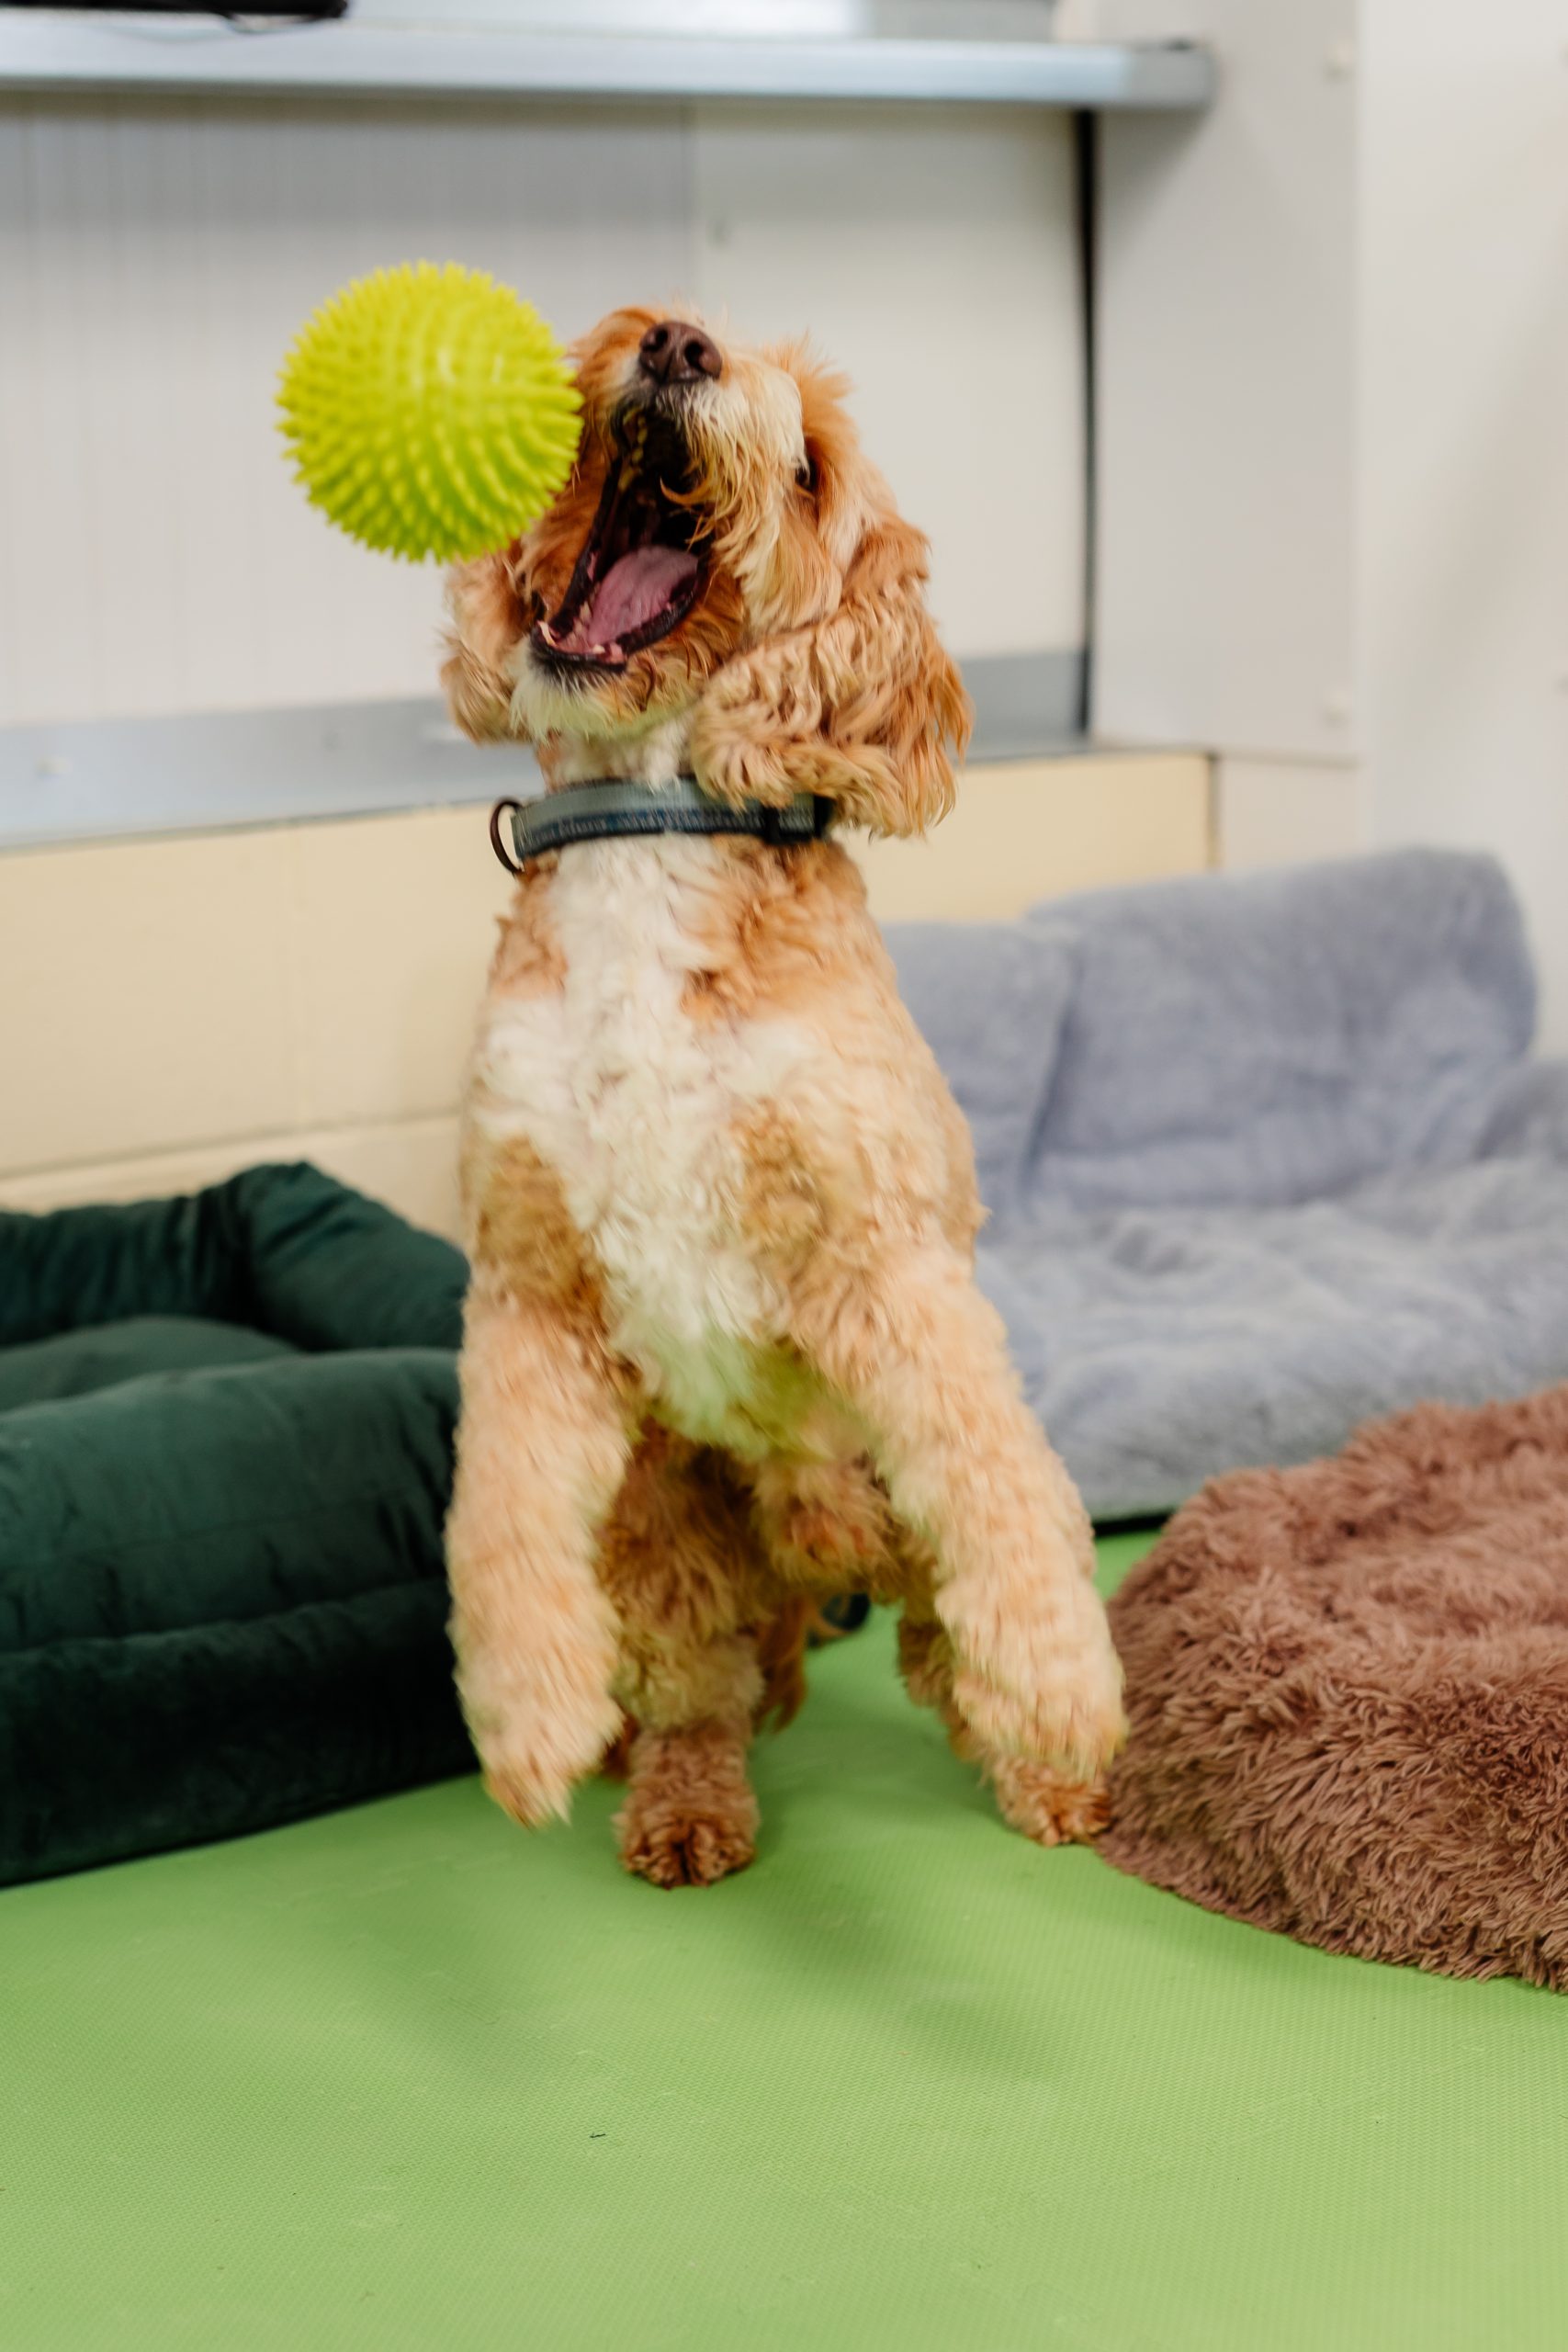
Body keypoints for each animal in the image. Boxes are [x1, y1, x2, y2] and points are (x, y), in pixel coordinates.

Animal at [442, 317, 1128, 1891]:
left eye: (808, 464)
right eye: (634, 324)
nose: (675, 343)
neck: (646, 823)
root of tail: (822, 1556)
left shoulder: (884, 1252)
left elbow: (991, 1500)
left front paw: (1063, 1695)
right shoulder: (526, 1286)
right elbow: (498, 1512)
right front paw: (528, 1715)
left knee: (957, 1615)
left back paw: (1044, 1773)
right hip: (664, 1521)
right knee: (699, 1682)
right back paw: (681, 1798)